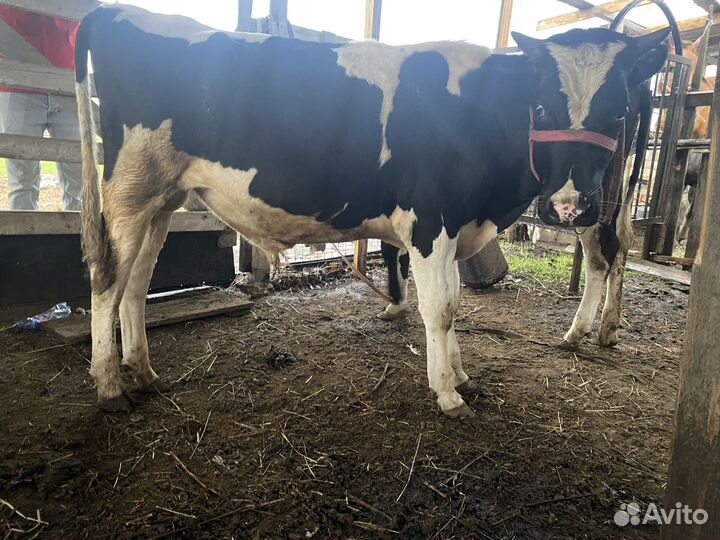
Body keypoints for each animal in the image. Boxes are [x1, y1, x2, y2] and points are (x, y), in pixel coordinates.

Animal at [75, 4, 669, 417]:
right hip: (131, 187)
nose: (568, 205)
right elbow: (441, 308)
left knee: (137, 281)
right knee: (108, 278)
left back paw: (143, 371)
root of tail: (116, 12)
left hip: (164, 195)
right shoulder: (432, 220)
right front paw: (448, 394)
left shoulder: (457, 224)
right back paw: (109, 386)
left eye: (618, 111)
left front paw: (459, 375)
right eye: (543, 106)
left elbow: (453, 303)